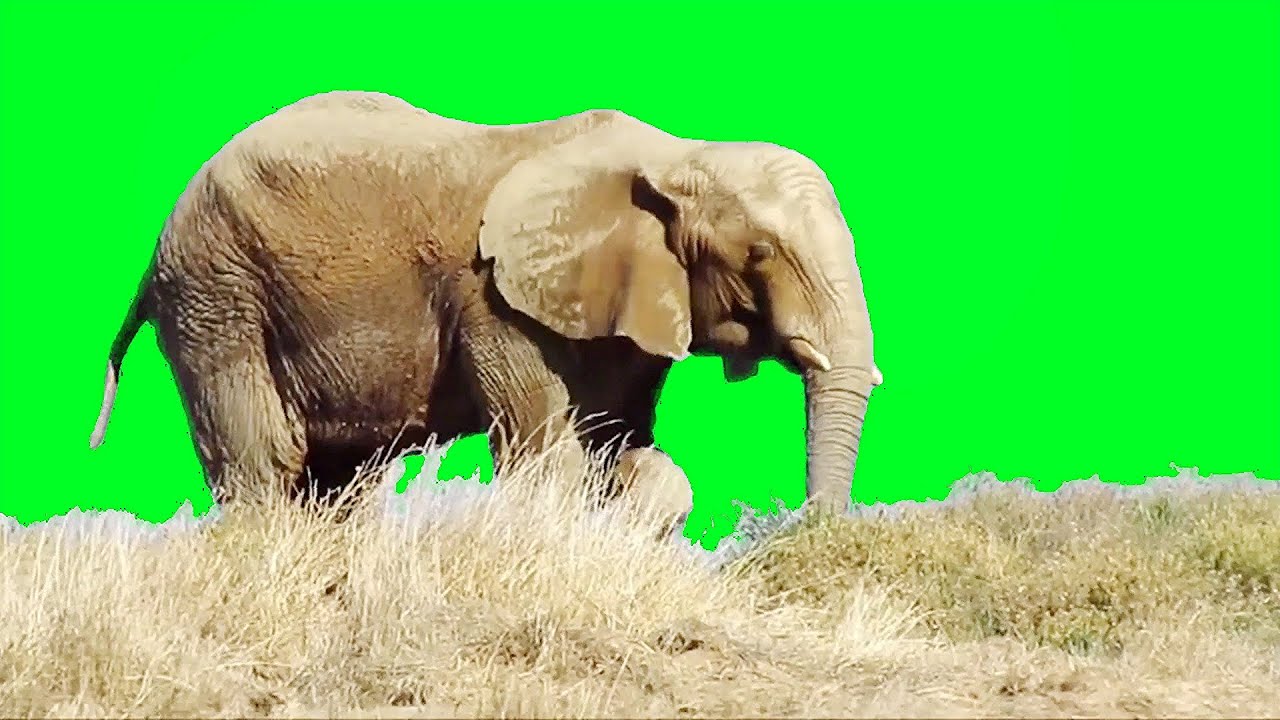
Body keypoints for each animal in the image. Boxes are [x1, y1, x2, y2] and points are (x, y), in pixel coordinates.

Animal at [87, 90, 883, 528]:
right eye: (760, 253)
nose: (806, 528)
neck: (676, 153)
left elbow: (626, 448)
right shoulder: (495, 301)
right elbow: (547, 457)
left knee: (341, 480)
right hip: (218, 293)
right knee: (265, 461)